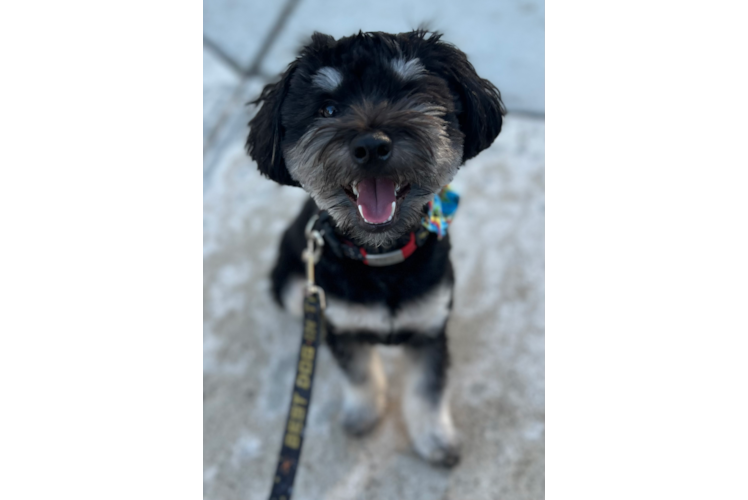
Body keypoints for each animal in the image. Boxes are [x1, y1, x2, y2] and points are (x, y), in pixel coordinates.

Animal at [248, 30, 506, 468]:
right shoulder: (343, 326)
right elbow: (361, 375)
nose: (371, 145)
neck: (381, 259)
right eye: (327, 108)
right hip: (291, 283)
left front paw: (435, 439)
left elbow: (426, 391)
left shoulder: (430, 330)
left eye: (411, 94)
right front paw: (363, 414)